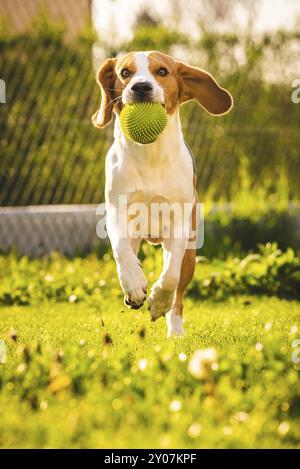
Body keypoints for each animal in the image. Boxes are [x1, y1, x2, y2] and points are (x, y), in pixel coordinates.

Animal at [91, 50, 232, 336]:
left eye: (163, 72)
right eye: (125, 73)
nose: (141, 87)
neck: (150, 154)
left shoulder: (179, 224)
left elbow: (170, 277)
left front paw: (158, 301)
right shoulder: (116, 213)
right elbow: (121, 250)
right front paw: (134, 285)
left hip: (190, 254)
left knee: (178, 290)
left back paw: (175, 329)